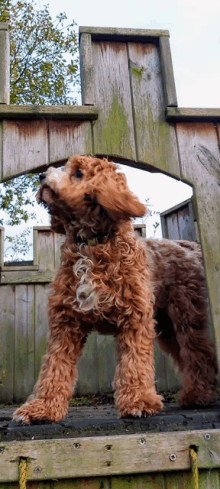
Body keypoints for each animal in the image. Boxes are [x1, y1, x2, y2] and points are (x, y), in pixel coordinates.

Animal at [12, 154, 217, 422]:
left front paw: (139, 401)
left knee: (198, 353)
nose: (42, 176)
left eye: (78, 173)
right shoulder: (65, 323)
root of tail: (187, 245)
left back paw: (200, 395)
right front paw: (42, 407)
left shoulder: (134, 318)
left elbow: (135, 362)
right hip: (165, 325)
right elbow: (54, 367)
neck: (91, 245)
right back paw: (195, 393)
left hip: (185, 315)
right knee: (186, 356)